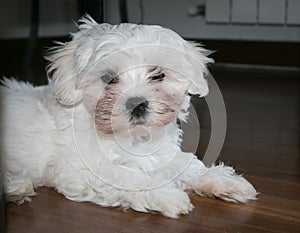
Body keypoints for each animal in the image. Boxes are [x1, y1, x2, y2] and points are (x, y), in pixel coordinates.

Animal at [1, 16, 256, 218]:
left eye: (158, 75)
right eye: (109, 78)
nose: (137, 104)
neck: (130, 137)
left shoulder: (159, 154)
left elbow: (188, 165)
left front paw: (222, 181)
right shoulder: (83, 170)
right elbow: (129, 177)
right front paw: (166, 194)